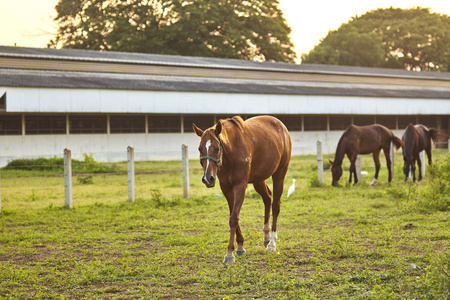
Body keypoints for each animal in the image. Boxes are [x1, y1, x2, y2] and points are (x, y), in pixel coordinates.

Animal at [192, 115, 292, 262]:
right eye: (200, 149)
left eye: (216, 148)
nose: (207, 178)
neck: (231, 152)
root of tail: (281, 126)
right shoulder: (226, 187)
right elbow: (232, 214)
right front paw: (239, 246)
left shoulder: (240, 185)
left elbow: (234, 218)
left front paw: (229, 253)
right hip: (258, 179)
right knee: (267, 198)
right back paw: (266, 238)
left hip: (279, 174)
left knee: (275, 206)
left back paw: (272, 243)